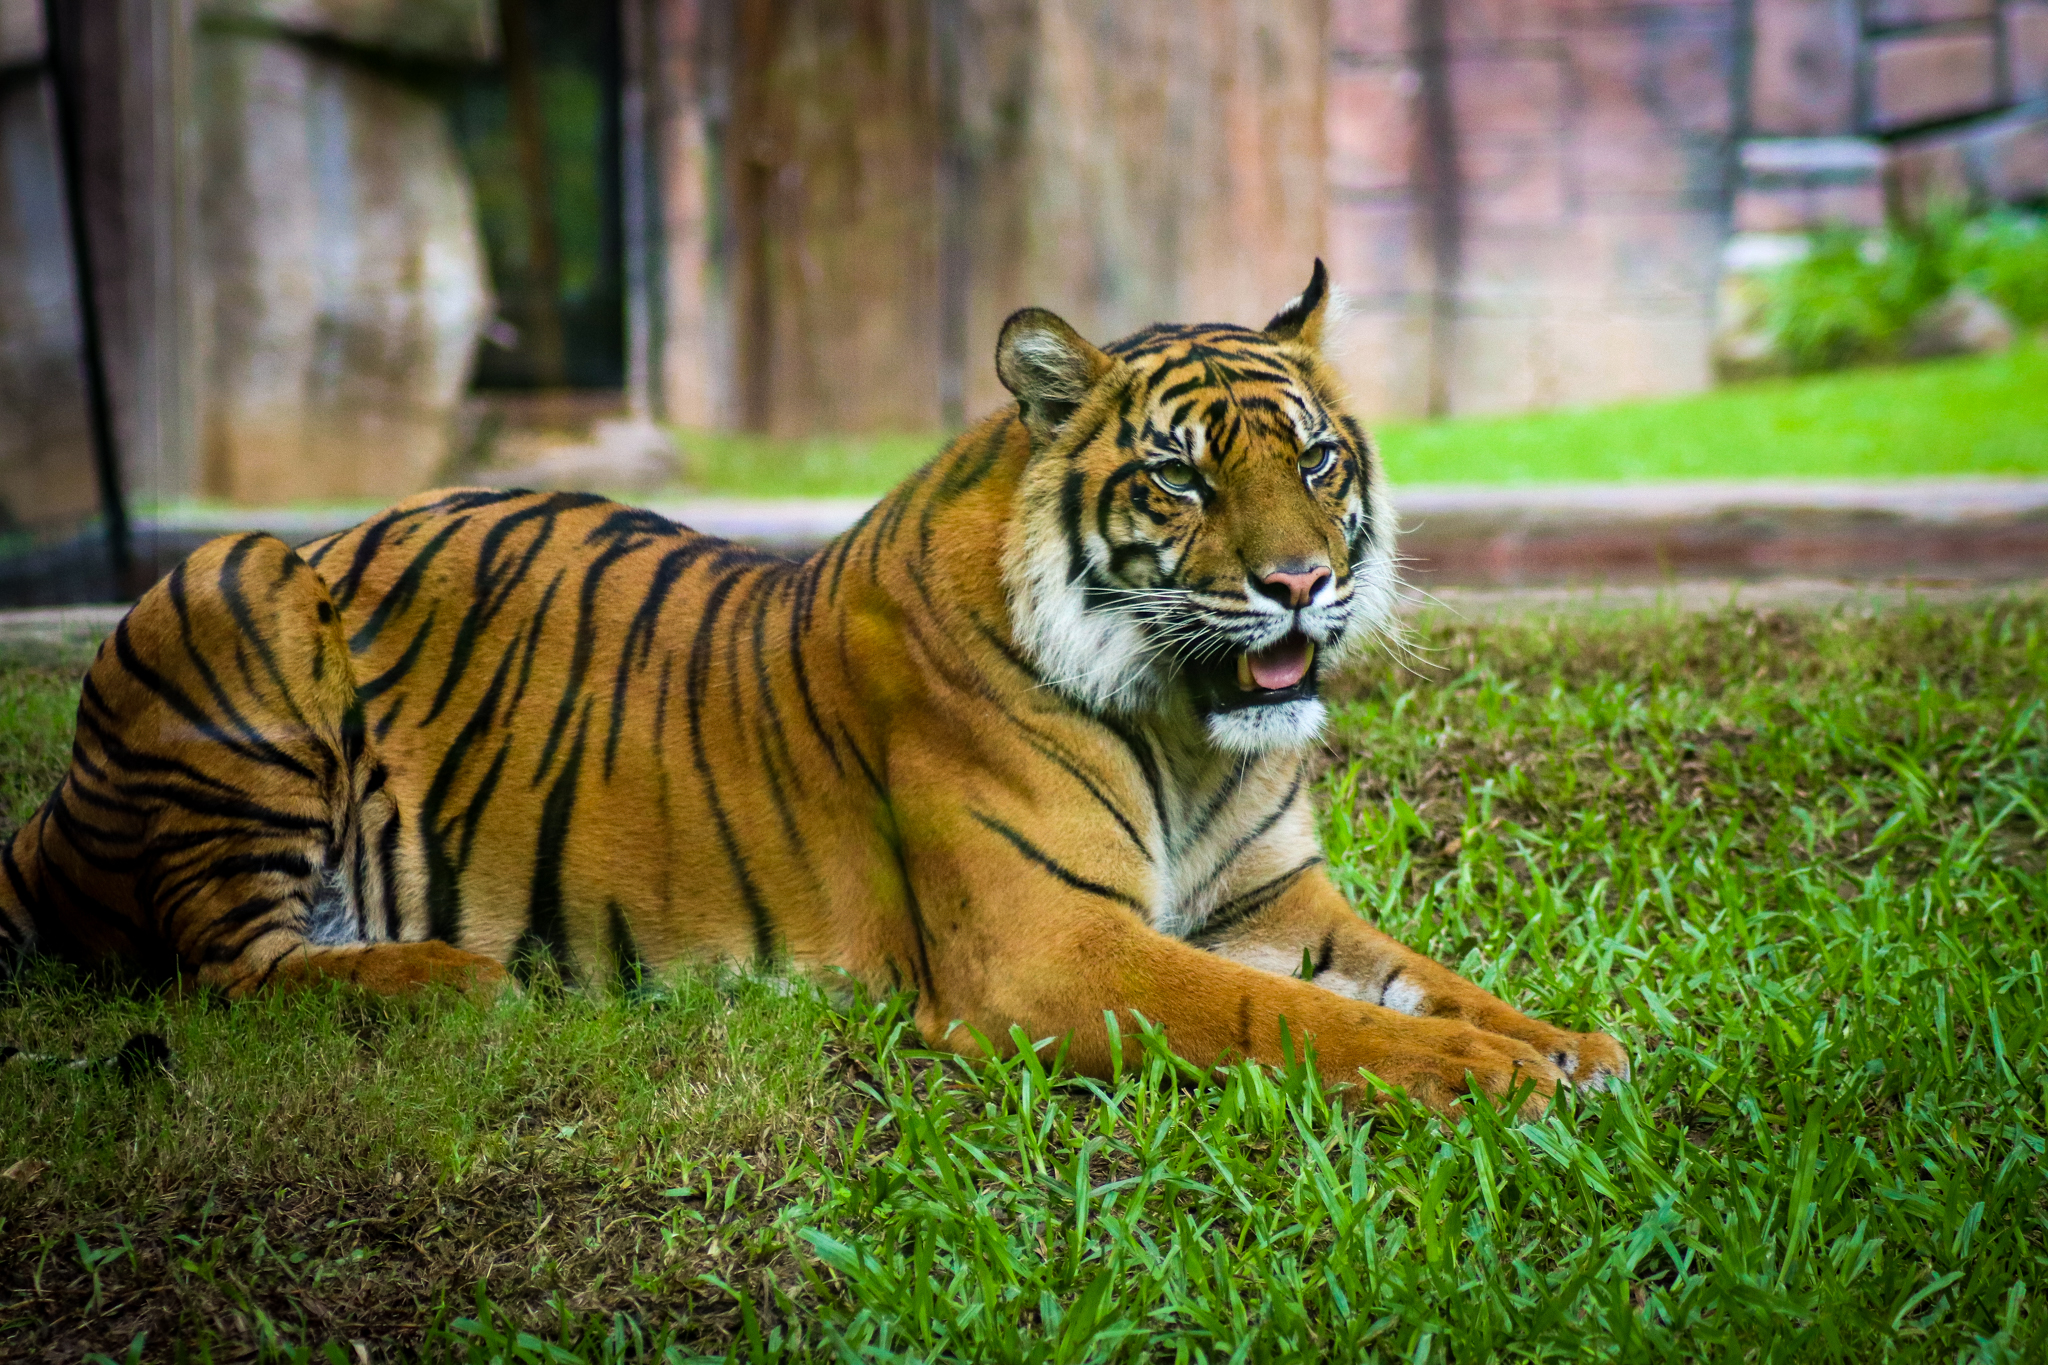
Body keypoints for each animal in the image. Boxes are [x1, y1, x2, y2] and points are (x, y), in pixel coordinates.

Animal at [0, 263, 1627, 1116]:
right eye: (1178, 477)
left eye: (1317, 459)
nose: (1301, 583)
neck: (1191, 733)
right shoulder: (1052, 949)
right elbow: (1310, 1022)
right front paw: (1503, 1075)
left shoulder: (1271, 904)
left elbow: (1415, 975)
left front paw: (1568, 1041)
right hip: (239, 579)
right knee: (225, 968)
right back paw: (451, 976)